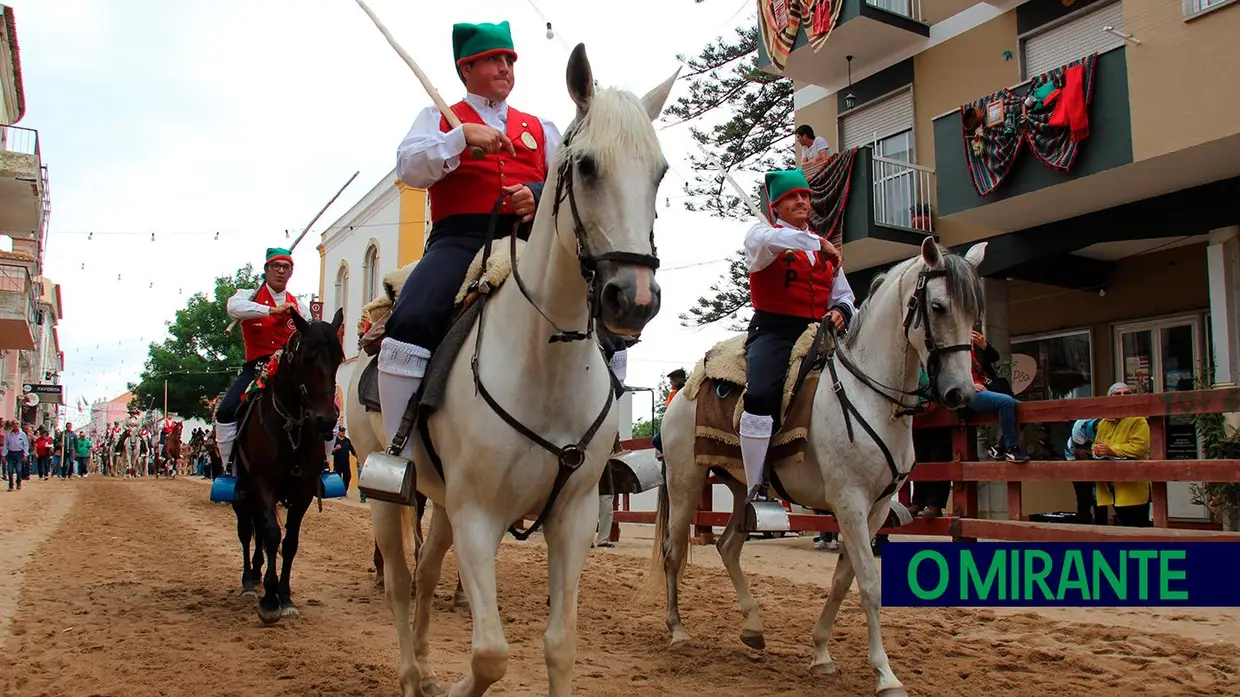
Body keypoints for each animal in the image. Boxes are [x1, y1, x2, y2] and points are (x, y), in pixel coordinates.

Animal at [229, 306, 342, 620]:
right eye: (306, 359)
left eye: (338, 359)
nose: (326, 420)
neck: (290, 424)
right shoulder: (262, 484)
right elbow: (271, 534)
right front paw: (270, 598)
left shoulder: (302, 490)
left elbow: (289, 541)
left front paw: (286, 595)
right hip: (243, 491)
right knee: (247, 530)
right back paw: (249, 581)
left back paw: (257, 572)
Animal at [367, 43, 679, 694]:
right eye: (585, 166)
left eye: (660, 172)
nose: (634, 298)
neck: (546, 361)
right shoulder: (479, 517)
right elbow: (490, 654)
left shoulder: (573, 517)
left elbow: (560, 645)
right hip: (388, 490)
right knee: (401, 584)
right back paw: (411, 674)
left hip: (441, 501)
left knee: (426, 574)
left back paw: (426, 666)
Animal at [649, 238, 987, 694]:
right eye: (937, 306)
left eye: (975, 311)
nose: (961, 393)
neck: (869, 397)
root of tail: (686, 389)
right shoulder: (849, 503)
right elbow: (869, 583)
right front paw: (885, 673)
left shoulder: (875, 509)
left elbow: (844, 580)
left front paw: (822, 653)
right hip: (686, 483)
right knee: (673, 551)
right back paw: (679, 631)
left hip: (739, 487)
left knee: (728, 546)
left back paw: (753, 628)